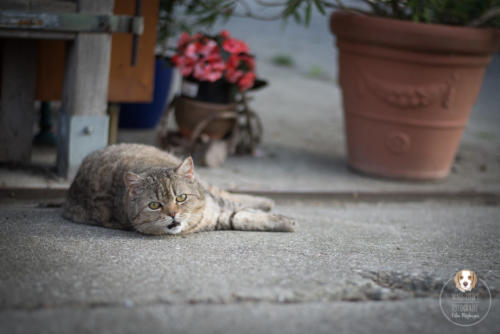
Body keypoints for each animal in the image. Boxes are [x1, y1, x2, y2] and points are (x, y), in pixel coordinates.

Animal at [63, 144, 296, 235]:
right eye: (154, 205)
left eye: (181, 198)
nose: (173, 214)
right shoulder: (219, 218)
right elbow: (241, 218)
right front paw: (284, 221)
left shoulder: (215, 205)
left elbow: (243, 212)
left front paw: (281, 218)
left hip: (207, 184)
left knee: (227, 193)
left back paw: (265, 200)